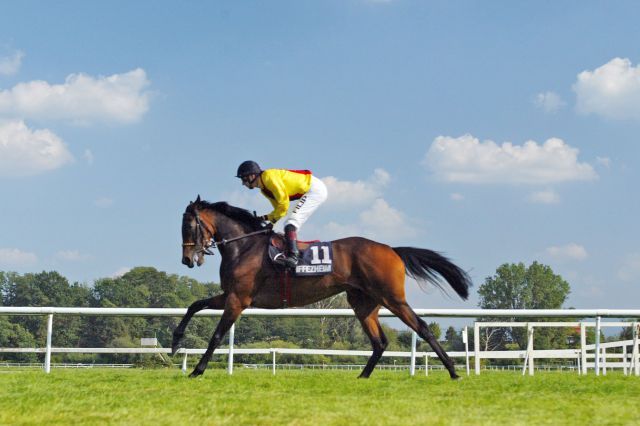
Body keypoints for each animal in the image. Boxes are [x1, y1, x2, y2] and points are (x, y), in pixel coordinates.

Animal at [174, 195, 470, 378]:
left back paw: (453, 371)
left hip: (392, 298)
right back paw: (363, 376)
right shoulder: (230, 295)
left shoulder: (238, 299)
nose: (187, 259)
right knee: (380, 342)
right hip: (363, 303)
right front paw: (176, 342)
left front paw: (197, 370)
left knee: (421, 328)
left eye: (188, 226)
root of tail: (392, 249)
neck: (245, 246)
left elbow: (216, 335)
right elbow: (194, 305)